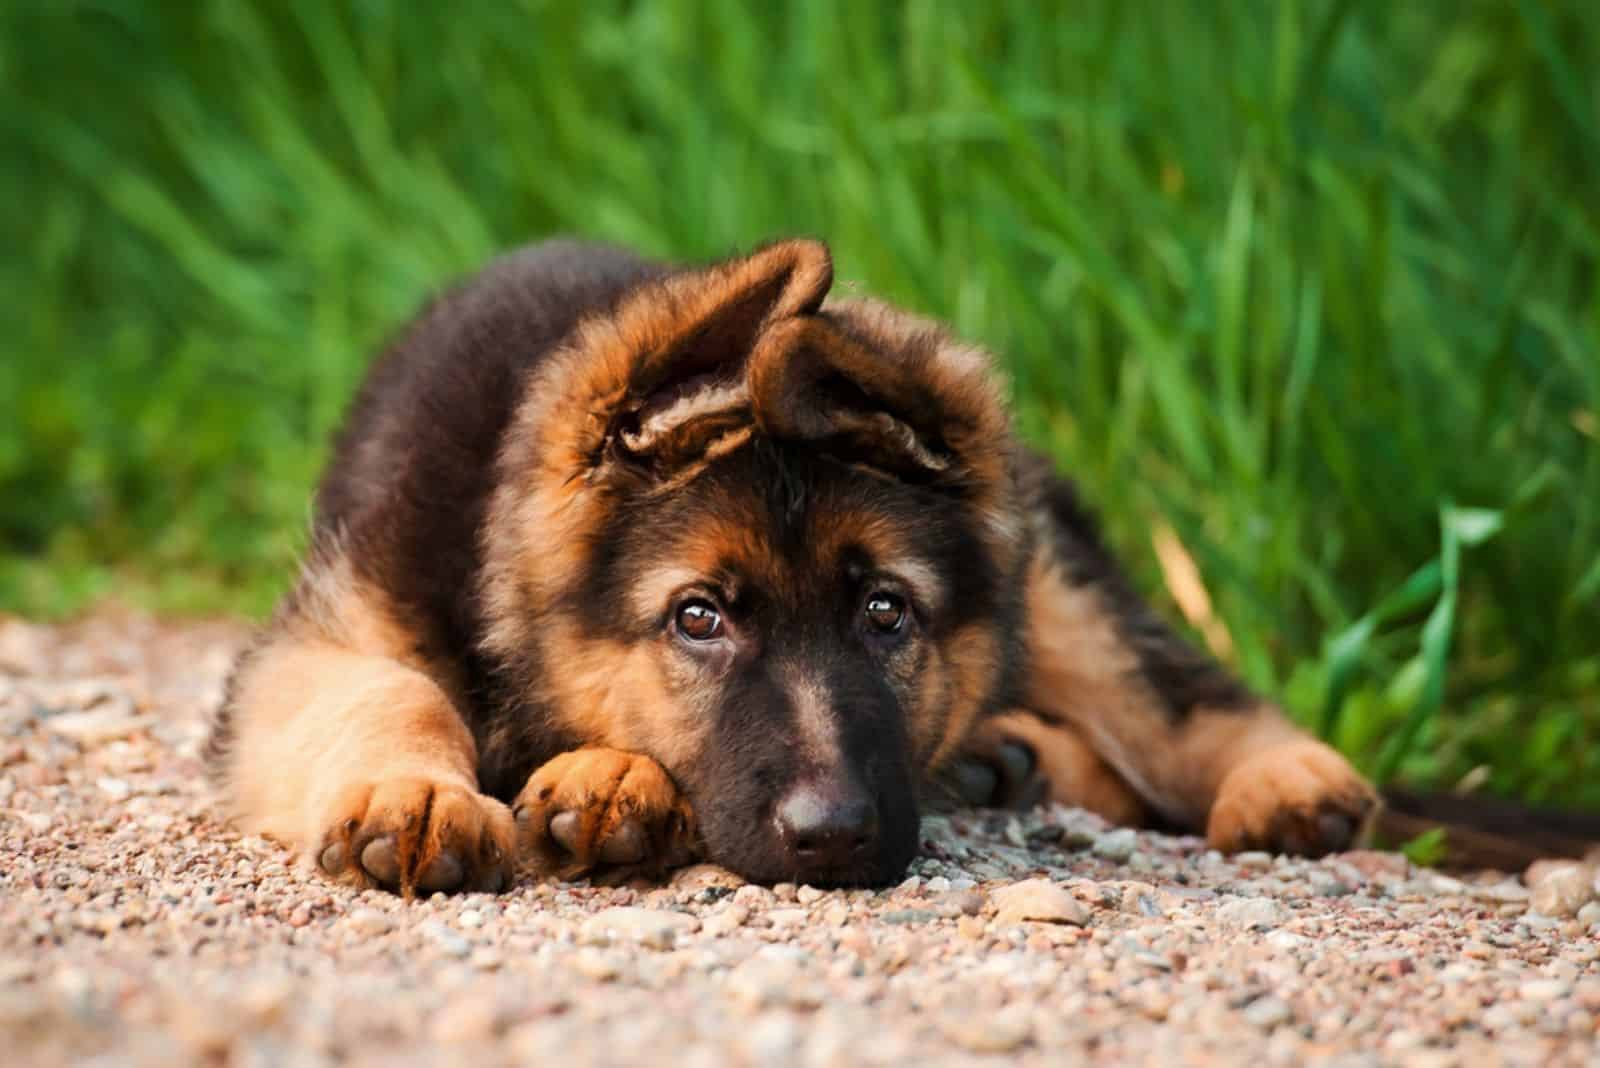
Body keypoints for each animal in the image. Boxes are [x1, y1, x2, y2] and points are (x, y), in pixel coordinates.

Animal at [203, 239, 1376, 895]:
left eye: (887, 612)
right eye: (698, 619)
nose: (834, 839)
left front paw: (601, 776)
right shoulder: (323, 635)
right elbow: (396, 692)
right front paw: (423, 794)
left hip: (1059, 590)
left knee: (1165, 693)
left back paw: (1282, 779)